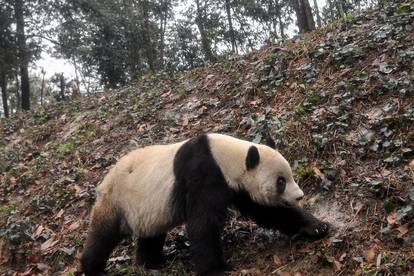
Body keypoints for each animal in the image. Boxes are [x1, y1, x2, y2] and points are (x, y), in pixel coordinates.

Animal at [79, 133, 328, 274]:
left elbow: (267, 212)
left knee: (151, 234)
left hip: (148, 206)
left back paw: (150, 264)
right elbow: (203, 223)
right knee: (103, 235)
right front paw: (216, 269)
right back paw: (91, 268)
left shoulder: (237, 187)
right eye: (281, 182)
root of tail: (103, 181)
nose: (299, 196)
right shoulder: (203, 174)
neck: (226, 155)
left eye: (290, 176)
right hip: (117, 199)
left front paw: (317, 227)